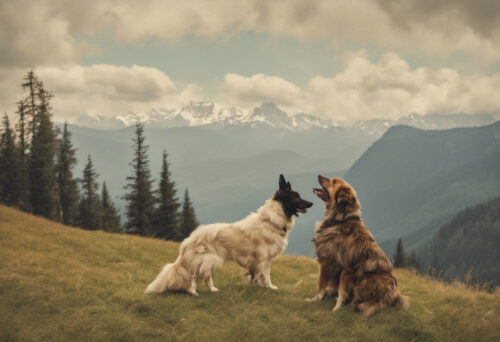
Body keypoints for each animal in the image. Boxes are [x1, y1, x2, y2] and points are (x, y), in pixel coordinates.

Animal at [306, 175, 408, 316]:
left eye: (334, 181)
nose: (319, 175)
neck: (341, 219)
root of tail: (391, 297)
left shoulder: (332, 264)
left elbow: (323, 285)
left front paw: (319, 302)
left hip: (367, 278)